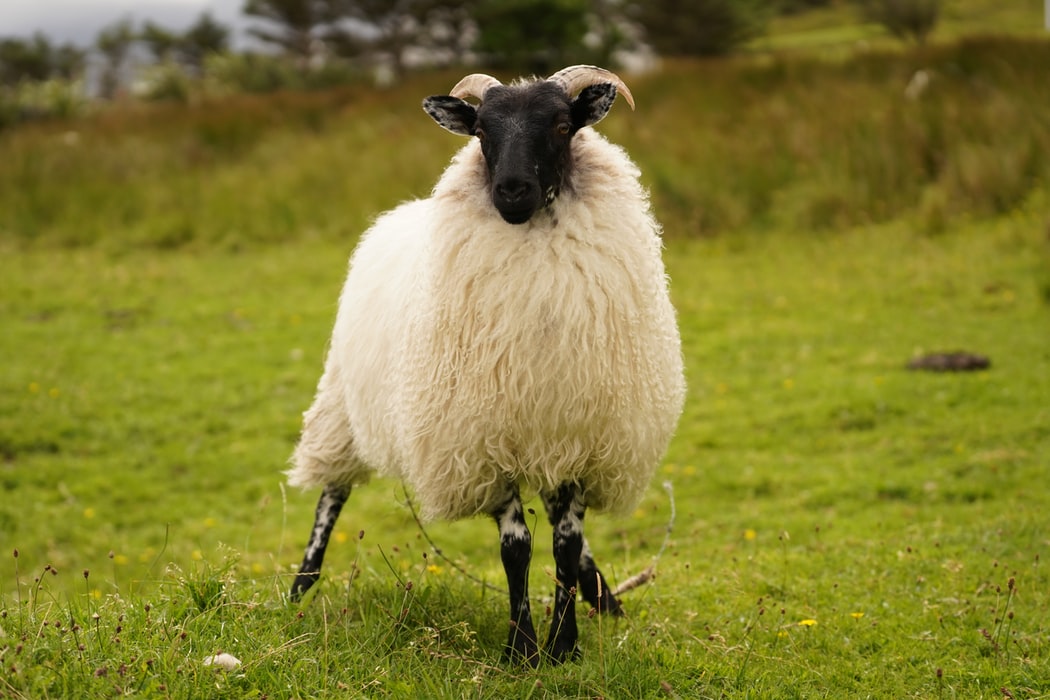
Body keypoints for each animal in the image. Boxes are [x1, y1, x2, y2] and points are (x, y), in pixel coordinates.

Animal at [283, 62, 684, 667]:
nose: (511, 191)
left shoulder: (575, 435)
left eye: (563, 125)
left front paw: (565, 646)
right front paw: (522, 650)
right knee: (332, 494)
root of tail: (396, 213)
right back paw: (301, 586)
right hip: (342, 405)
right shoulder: (483, 442)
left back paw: (604, 598)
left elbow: (566, 545)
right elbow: (516, 548)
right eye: (480, 132)